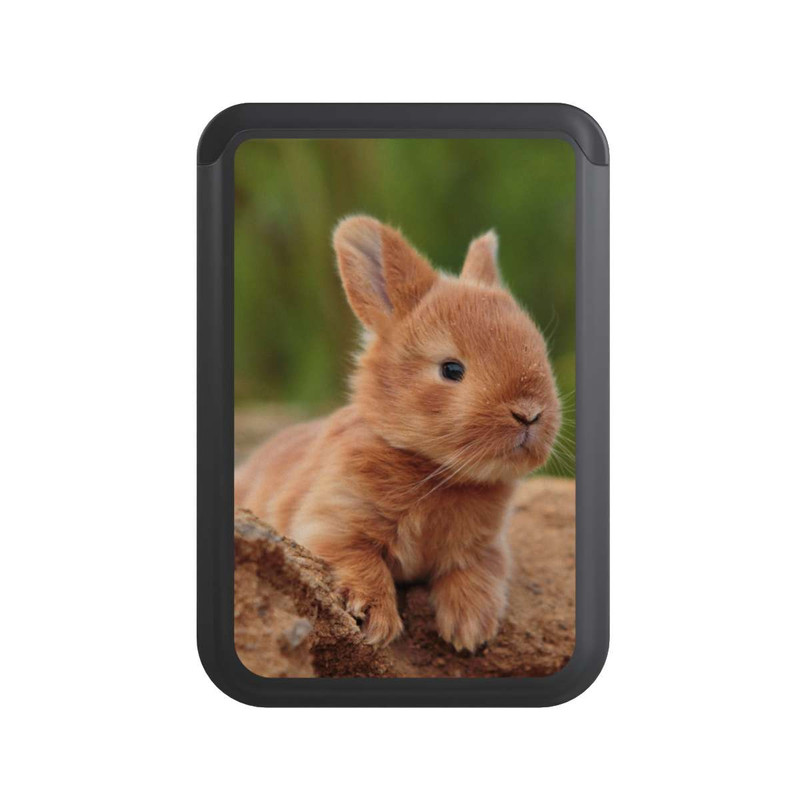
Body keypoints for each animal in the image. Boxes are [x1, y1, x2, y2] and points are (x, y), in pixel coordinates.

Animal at [235, 216, 561, 652]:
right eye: (451, 370)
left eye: (538, 349)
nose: (530, 413)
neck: (435, 472)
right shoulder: (330, 523)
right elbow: (361, 561)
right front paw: (374, 619)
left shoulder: (486, 549)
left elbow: (475, 576)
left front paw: (469, 630)